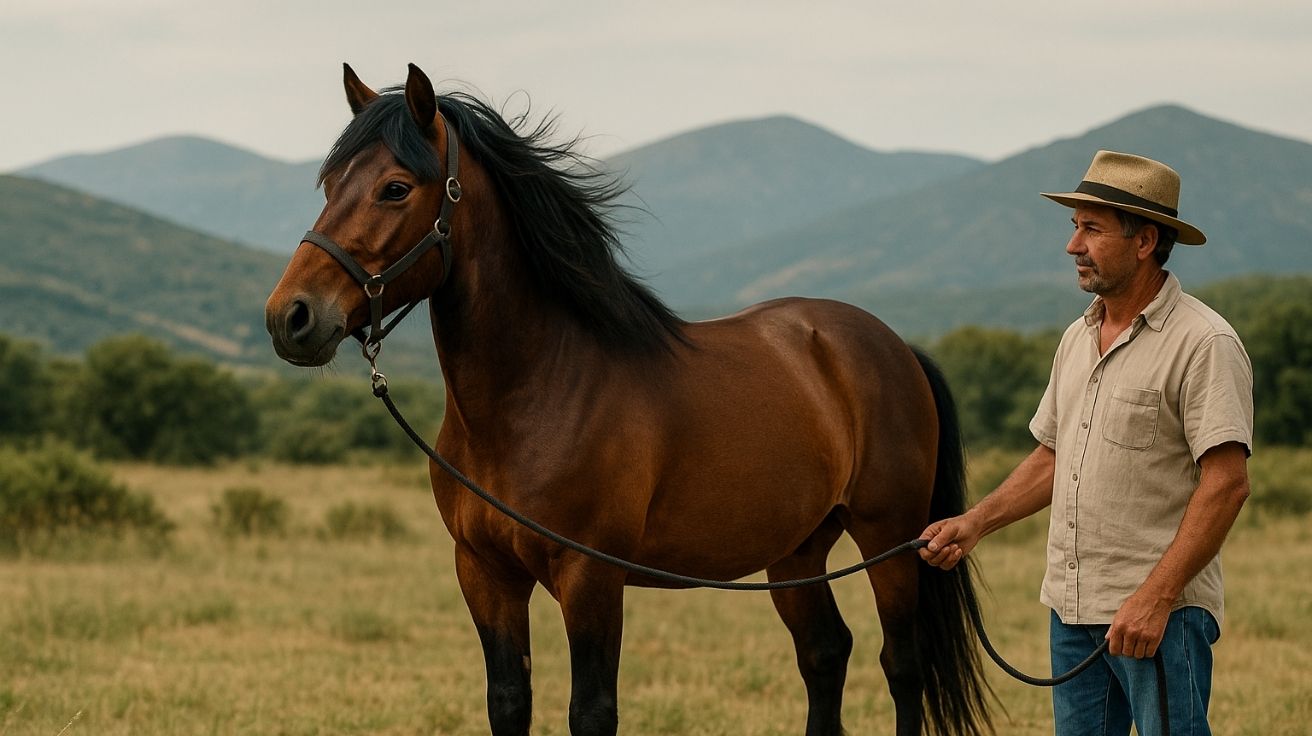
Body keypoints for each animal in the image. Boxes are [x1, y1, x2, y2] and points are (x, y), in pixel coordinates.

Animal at [265, 63, 992, 736]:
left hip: (888, 538)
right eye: (330, 185)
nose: (290, 317)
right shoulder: (484, 574)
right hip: (798, 551)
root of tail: (892, 346)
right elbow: (508, 703)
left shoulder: (589, 577)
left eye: (394, 188)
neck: (534, 396)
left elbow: (592, 711)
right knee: (824, 655)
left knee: (901, 667)